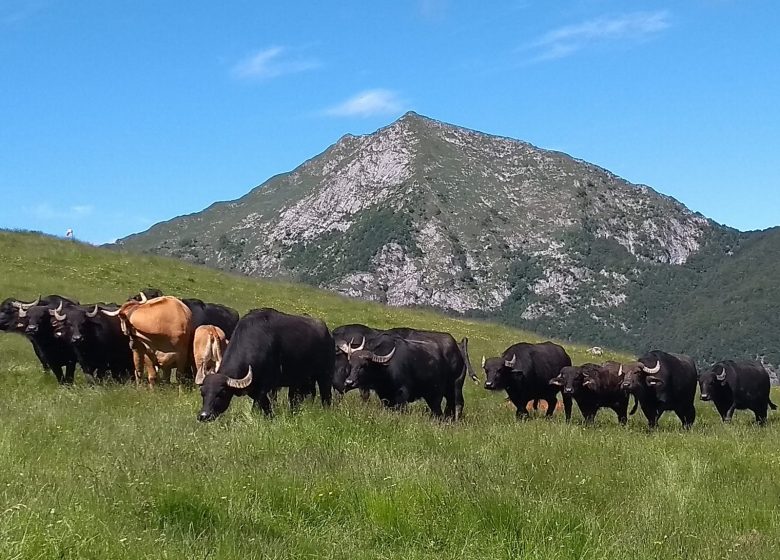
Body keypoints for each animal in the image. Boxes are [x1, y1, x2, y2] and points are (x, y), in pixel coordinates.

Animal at [197, 308, 334, 422]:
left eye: (221, 393)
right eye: (202, 392)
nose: (204, 415)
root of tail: (329, 334)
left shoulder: (265, 386)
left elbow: (257, 407)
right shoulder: (254, 389)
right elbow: (266, 406)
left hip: (324, 376)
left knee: (326, 396)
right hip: (300, 381)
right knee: (298, 398)